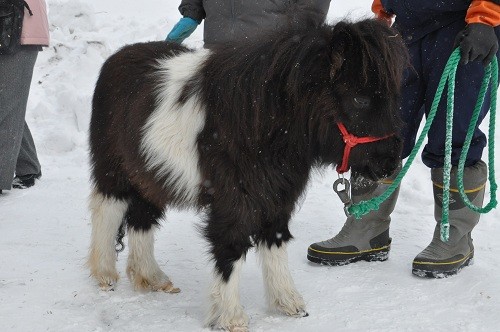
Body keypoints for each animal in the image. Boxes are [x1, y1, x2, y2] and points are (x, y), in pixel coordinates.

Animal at [88, 18, 408, 332]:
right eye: (359, 99)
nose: (391, 160)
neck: (263, 121)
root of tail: (114, 60)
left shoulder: (276, 196)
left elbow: (276, 241)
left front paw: (288, 303)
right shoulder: (233, 202)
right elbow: (230, 247)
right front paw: (231, 317)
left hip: (150, 175)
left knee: (141, 218)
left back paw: (151, 277)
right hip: (114, 169)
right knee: (108, 209)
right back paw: (104, 274)